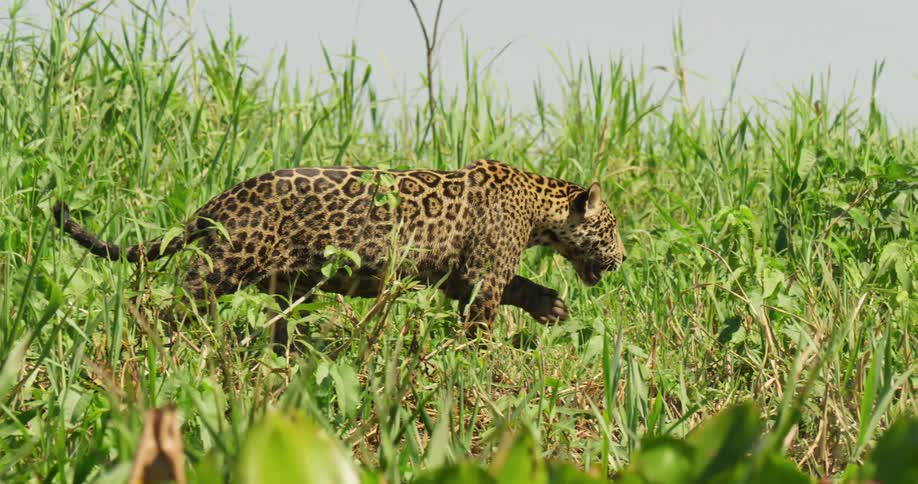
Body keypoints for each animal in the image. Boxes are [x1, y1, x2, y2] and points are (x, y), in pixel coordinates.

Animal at [53, 159, 626, 344]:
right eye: (613, 228)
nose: (623, 259)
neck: (541, 210)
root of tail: (222, 198)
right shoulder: (482, 275)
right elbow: (484, 315)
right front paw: (479, 358)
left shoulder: (455, 274)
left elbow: (517, 287)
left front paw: (551, 306)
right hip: (226, 264)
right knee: (175, 300)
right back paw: (147, 338)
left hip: (284, 283)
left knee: (276, 323)